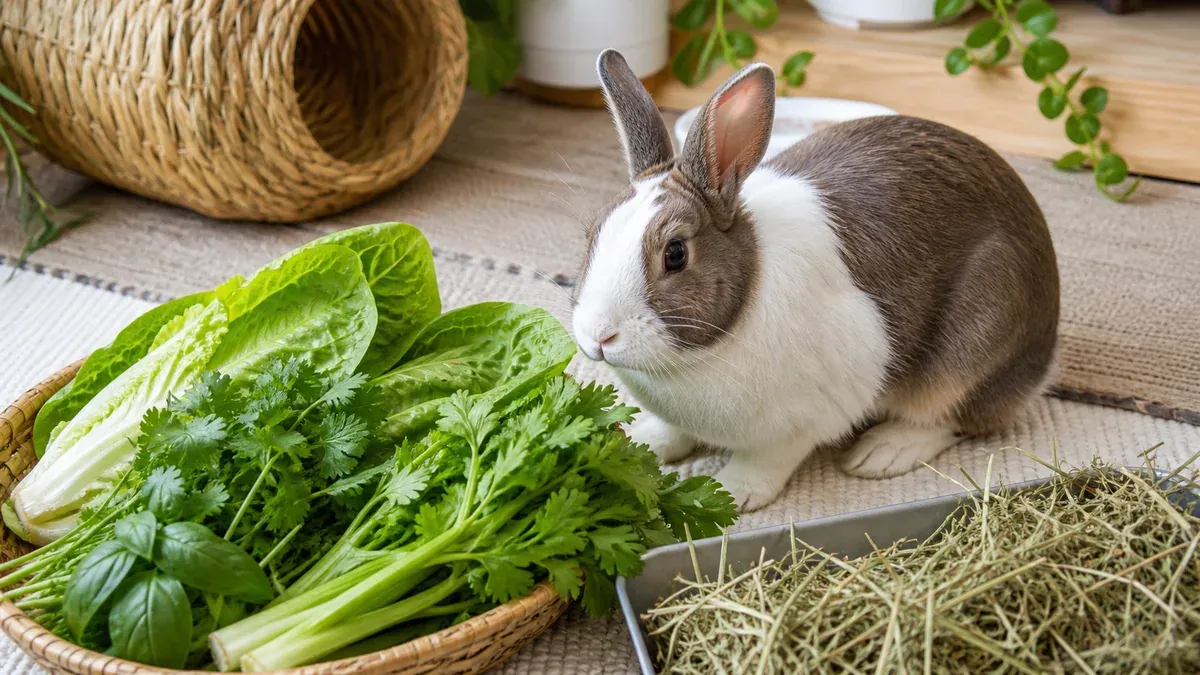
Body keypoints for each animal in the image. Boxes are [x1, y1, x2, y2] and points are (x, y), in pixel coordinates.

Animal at [571, 50, 1059, 512]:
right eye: (594, 231)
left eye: (675, 254)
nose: (599, 336)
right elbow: (671, 430)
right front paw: (641, 440)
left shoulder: (805, 418)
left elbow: (768, 459)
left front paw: (732, 492)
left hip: (972, 349)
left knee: (960, 419)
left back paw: (882, 452)